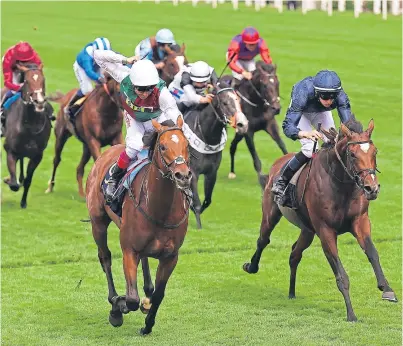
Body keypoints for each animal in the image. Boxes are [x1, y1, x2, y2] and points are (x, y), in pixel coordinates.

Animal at [2, 62, 52, 208]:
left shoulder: (37, 156)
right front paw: (8, 179)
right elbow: (14, 184)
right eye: (27, 81)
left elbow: (28, 180)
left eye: (43, 80)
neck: (30, 124)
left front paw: (23, 202)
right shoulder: (10, 150)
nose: (39, 101)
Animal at [85, 116, 193, 336]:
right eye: (162, 146)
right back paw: (114, 298)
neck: (160, 210)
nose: (183, 175)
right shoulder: (129, 250)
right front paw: (118, 309)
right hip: (98, 222)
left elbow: (159, 294)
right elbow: (132, 299)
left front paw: (148, 324)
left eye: (187, 145)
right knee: (105, 257)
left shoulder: (171, 257)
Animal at [184, 85, 248, 228]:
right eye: (224, 103)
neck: (207, 137)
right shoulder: (193, 173)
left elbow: (207, 200)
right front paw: (198, 227)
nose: (243, 124)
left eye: (238, 100)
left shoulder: (212, 172)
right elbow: (197, 203)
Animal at [221, 60, 288, 188]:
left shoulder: (270, 125)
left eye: (277, 83)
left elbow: (282, 145)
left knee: (233, 146)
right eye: (265, 85)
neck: (257, 104)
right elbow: (256, 158)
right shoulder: (248, 131)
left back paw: (232, 172)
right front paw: (262, 179)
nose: (276, 108)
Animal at [243, 116, 398, 322]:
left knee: (294, 254)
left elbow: (372, 253)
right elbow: (341, 274)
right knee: (263, 239)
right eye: (352, 154)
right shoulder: (325, 230)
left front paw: (387, 289)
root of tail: (279, 161)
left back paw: (291, 292)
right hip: (271, 213)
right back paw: (251, 266)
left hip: (307, 230)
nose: (371, 188)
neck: (341, 185)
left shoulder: (360, 221)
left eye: (375, 151)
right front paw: (351, 314)